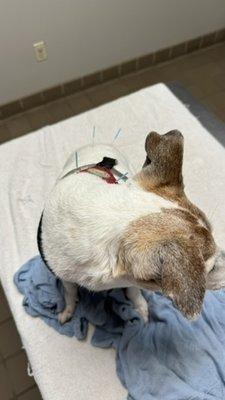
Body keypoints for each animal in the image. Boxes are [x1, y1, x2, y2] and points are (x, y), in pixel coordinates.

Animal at [38, 130, 225, 324]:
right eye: (210, 270)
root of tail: (98, 144)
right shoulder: (63, 274)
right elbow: (70, 292)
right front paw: (68, 310)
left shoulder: (130, 279)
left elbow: (134, 290)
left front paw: (140, 307)